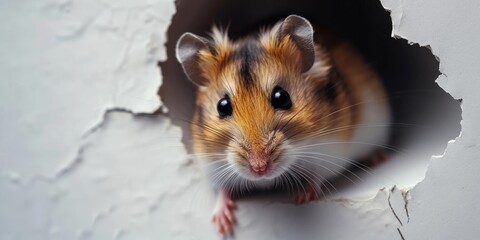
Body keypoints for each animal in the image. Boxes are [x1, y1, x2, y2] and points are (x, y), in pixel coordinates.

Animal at [176, 14, 390, 234]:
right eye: (222, 106)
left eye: (282, 97)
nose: (259, 168)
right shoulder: (210, 163)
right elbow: (222, 189)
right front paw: (223, 225)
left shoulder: (332, 150)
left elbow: (318, 175)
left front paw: (302, 198)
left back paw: (378, 158)